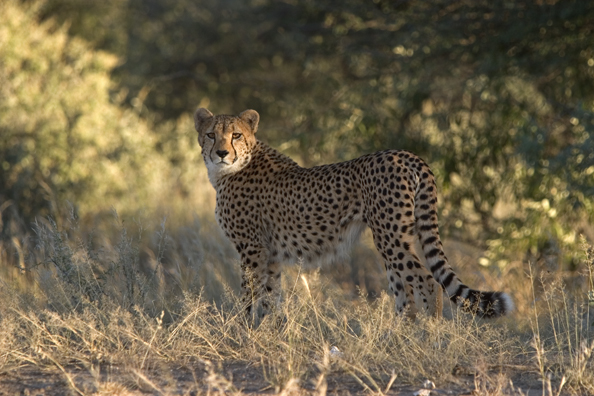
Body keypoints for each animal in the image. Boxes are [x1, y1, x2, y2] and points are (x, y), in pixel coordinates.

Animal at [192, 107, 512, 318]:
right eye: (210, 135)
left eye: (235, 135)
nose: (221, 153)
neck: (234, 168)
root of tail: (406, 154)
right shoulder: (270, 253)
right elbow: (271, 297)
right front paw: (270, 333)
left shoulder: (253, 249)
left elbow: (250, 295)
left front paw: (243, 330)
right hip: (398, 237)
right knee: (404, 292)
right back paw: (398, 342)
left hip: (390, 238)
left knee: (427, 282)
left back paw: (430, 339)